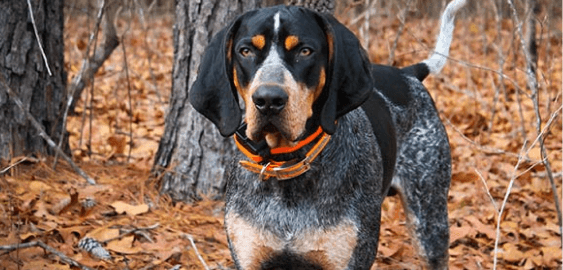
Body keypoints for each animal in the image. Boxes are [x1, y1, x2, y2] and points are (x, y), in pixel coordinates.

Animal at [189, 1, 468, 268]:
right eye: (245, 51)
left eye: (305, 51)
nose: (268, 100)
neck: (286, 166)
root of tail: (406, 73)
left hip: (429, 220)